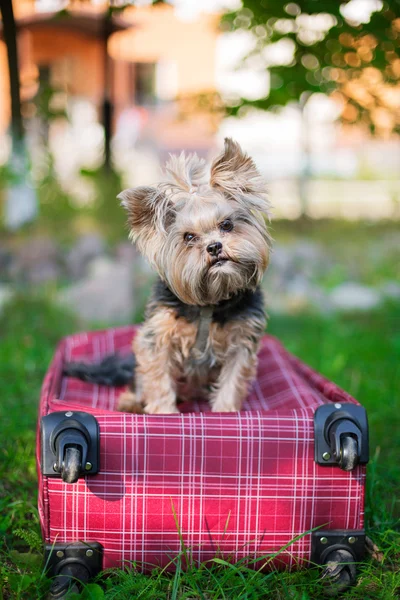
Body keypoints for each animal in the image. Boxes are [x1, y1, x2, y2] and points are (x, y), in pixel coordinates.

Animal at [65, 140, 272, 412]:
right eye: (189, 237)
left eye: (227, 225)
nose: (214, 247)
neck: (210, 300)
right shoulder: (157, 337)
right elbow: (157, 379)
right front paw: (164, 413)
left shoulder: (242, 341)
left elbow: (233, 381)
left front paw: (225, 412)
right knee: (137, 381)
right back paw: (130, 403)